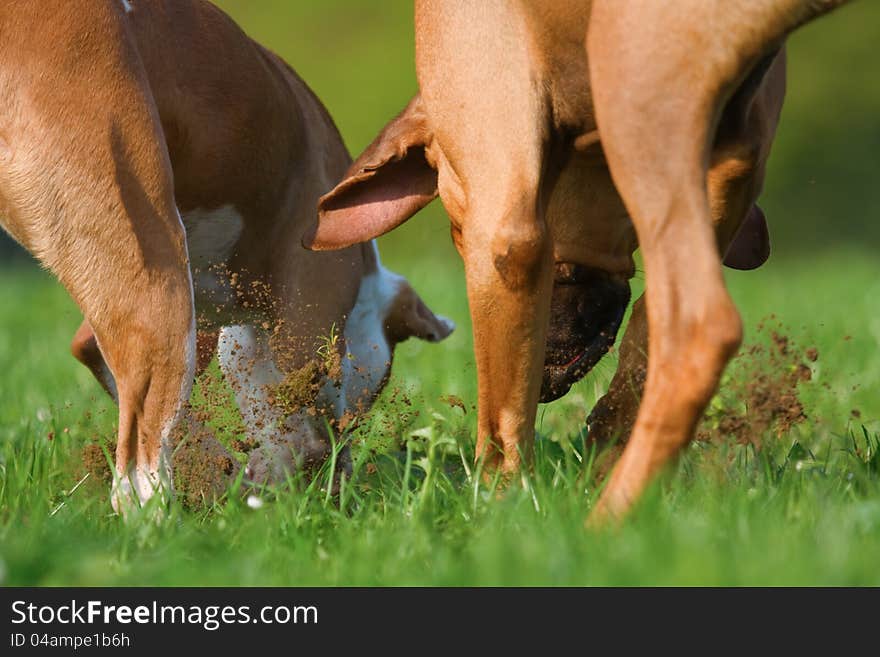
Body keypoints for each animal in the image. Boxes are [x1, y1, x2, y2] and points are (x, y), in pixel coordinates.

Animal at [0, 0, 454, 512]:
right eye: (364, 404)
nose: (335, 487)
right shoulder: (300, 329)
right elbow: (296, 426)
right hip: (155, 282)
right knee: (140, 474)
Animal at [304, 1, 852, 524]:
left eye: (457, 227)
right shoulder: (737, 160)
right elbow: (639, 350)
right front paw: (605, 450)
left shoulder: (503, 212)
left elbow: (501, 423)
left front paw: (494, 509)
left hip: (639, 90)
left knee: (701, 325)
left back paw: (605, 525)